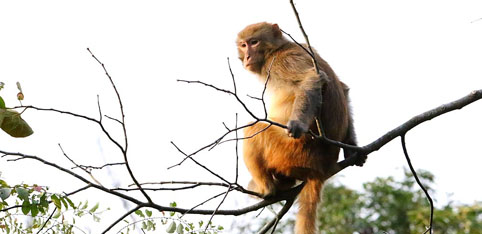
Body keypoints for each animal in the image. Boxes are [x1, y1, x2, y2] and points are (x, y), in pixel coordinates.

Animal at [237, 22, 358, 234]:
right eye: (243, 45)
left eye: (254, 42)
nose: (247, 56)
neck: (277, 49)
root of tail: (322, 168)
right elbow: (343, 88)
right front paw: (351, 148)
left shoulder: (281, 61)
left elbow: (313, 78)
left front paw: (297, 124)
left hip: (292, 154)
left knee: (254, 129)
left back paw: (267, 188)